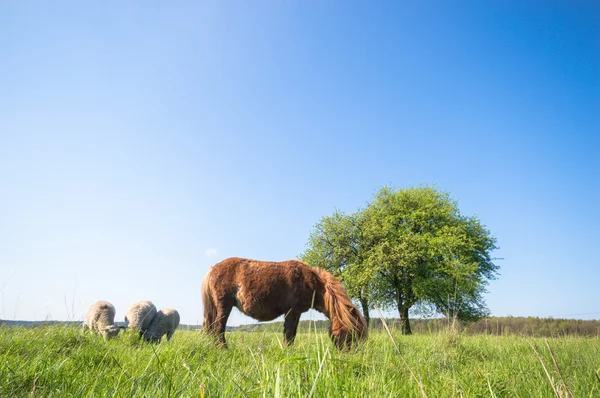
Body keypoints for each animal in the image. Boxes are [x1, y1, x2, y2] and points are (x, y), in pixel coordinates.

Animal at [202, 258, 366, 348]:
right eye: (351, 334)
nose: (350, 355)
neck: (310, 281)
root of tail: (213, 268)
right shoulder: (292, 311)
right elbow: (289, 334)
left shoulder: (297, 312)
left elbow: (292, 334)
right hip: (224, 306)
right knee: (218, 328)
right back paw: (223, 349)